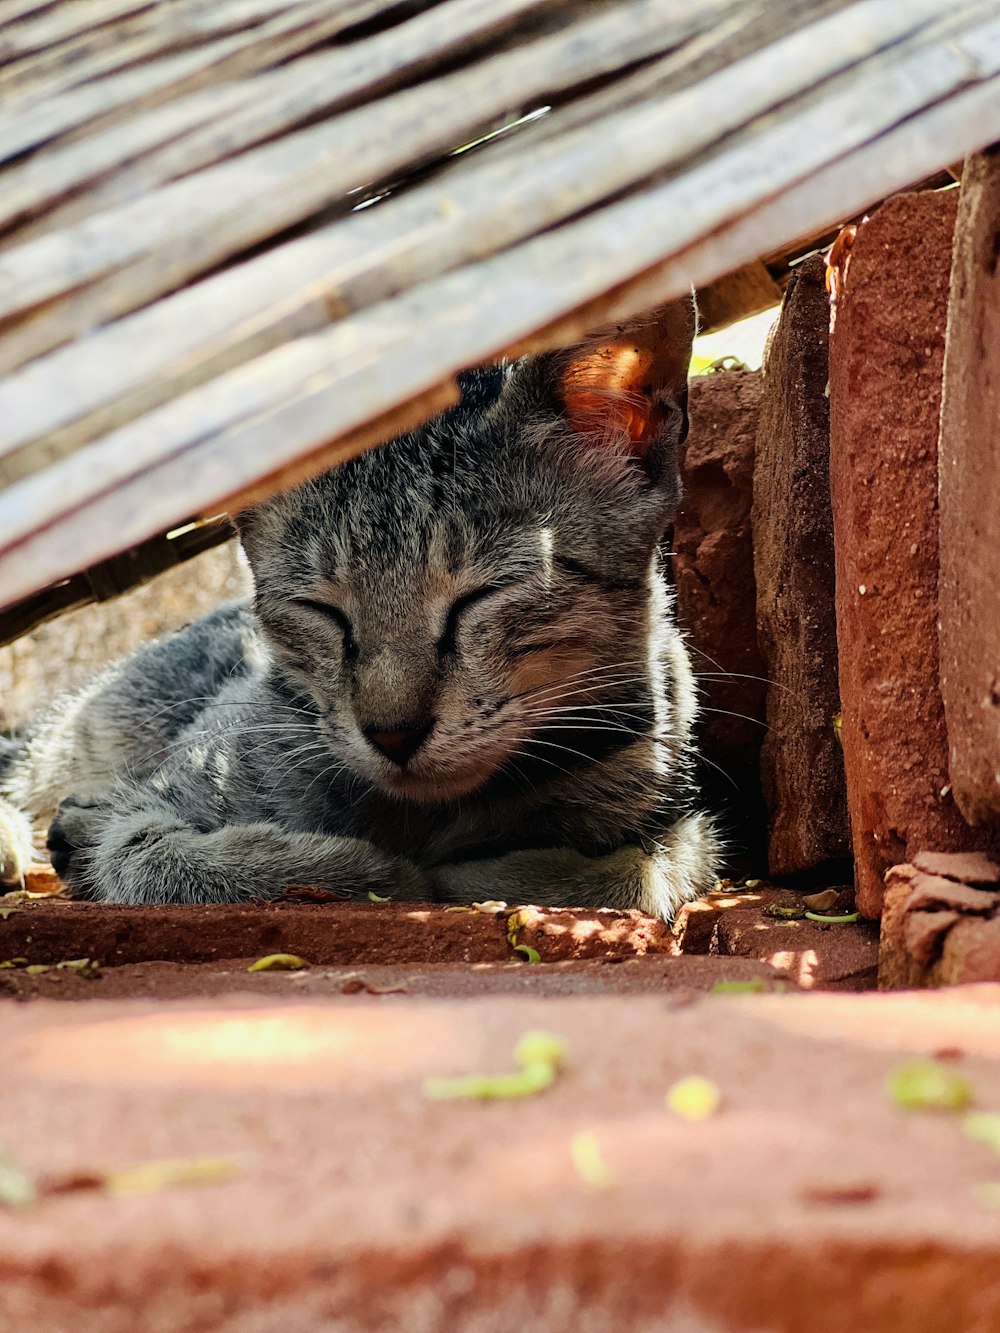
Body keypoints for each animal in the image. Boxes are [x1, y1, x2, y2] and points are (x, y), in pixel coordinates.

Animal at [0, 294, 720, 917]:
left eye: (481, 594)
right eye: (323, 610)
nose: (392, 733)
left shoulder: (670, 799)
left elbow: (649, 868)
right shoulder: (159, 798)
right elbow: (153, 854)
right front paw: (367, 868)